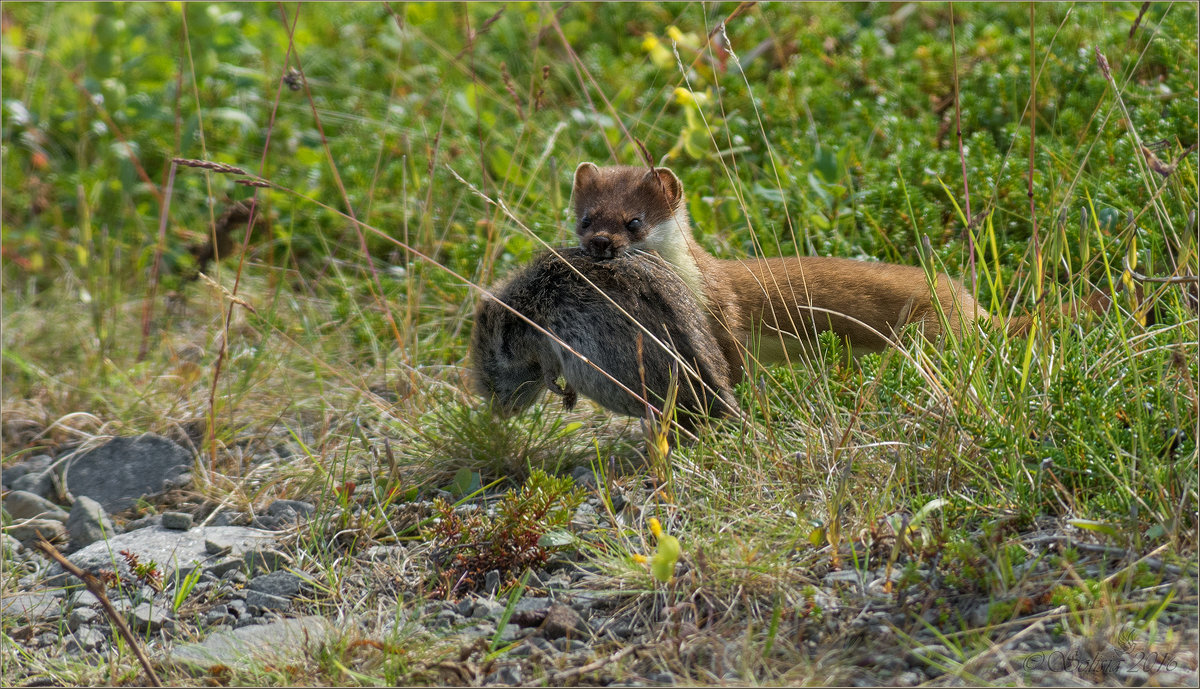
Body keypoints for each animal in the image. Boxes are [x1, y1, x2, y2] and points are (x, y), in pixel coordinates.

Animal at [470, 248, 734, 432]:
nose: (500, 414)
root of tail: (727, 403)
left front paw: (563, 394)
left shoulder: (546, 344)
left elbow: (550, 372)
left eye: (489, 376)